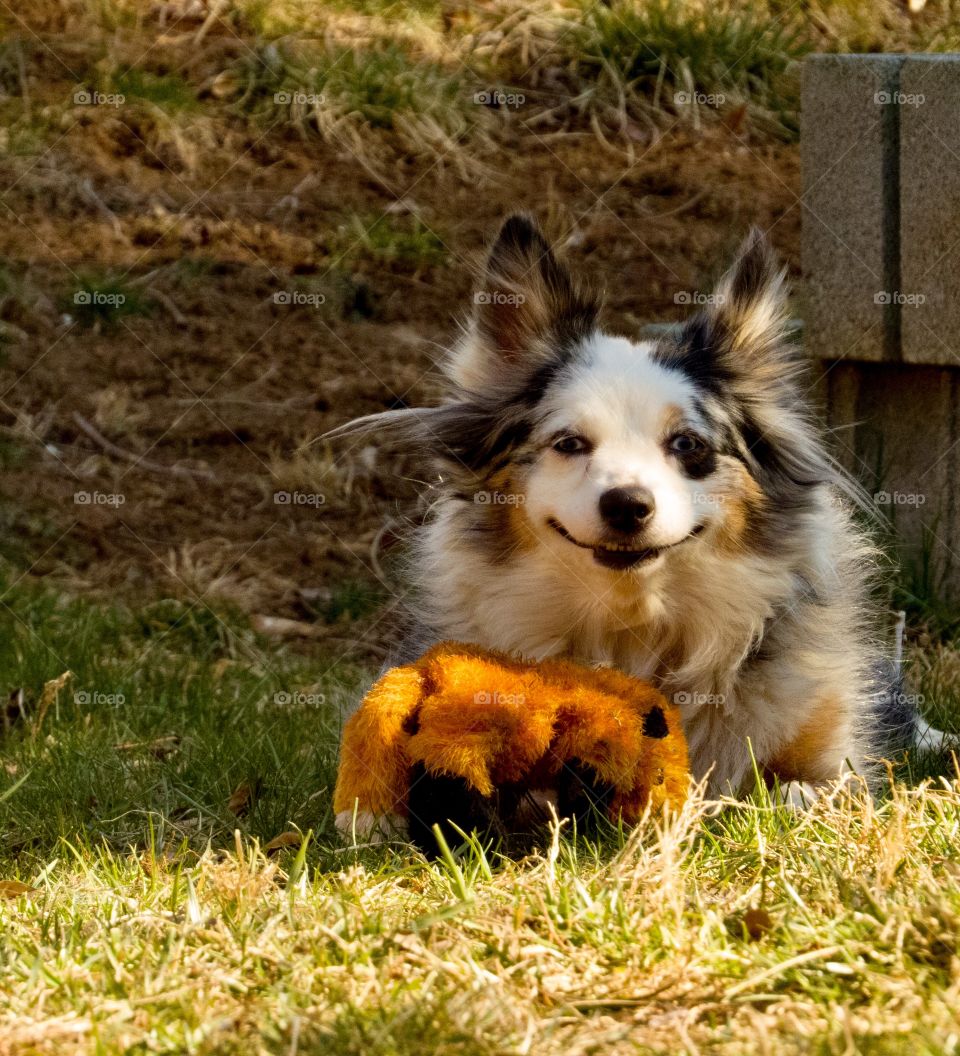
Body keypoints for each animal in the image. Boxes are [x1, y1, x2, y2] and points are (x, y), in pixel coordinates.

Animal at [331, 214, 920, 806]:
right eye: (569, 443)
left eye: (687, 444)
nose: (627, 505)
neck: (632, 625)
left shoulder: (830, 748)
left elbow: (812, 784)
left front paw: (794, 796)